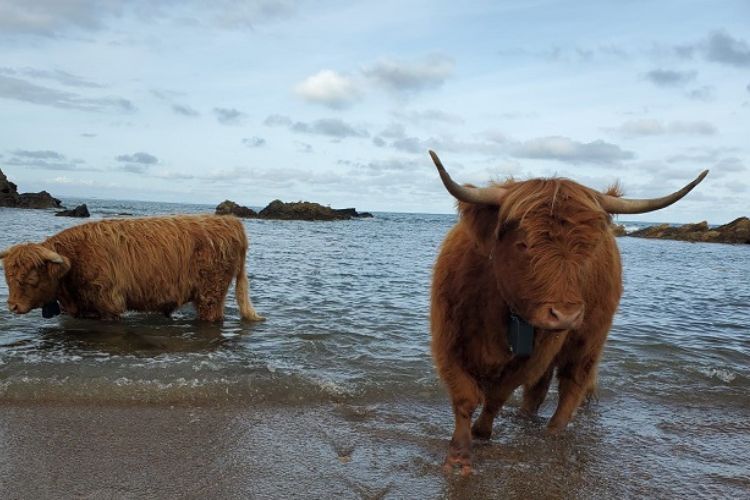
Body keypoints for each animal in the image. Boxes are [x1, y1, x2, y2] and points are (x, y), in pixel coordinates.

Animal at [0, 214, 264, 322]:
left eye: (30, 278)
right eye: (8, 278)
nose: (12, 306)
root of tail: (231, 221)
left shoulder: (108, 304)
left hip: (211, 294)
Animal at [428, 150, 708, 475]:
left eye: (588, 248)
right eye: (523, 244)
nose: (565, 315)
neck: (497, 307)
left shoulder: (535, 354)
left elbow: (497, 395)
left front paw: (480, 433)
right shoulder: (448, 339)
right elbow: (465, 396)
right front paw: (459, 455)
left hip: (589, 338)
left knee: (572, 384)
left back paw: (552, 435)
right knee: (538, 392)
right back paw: (525, 420)